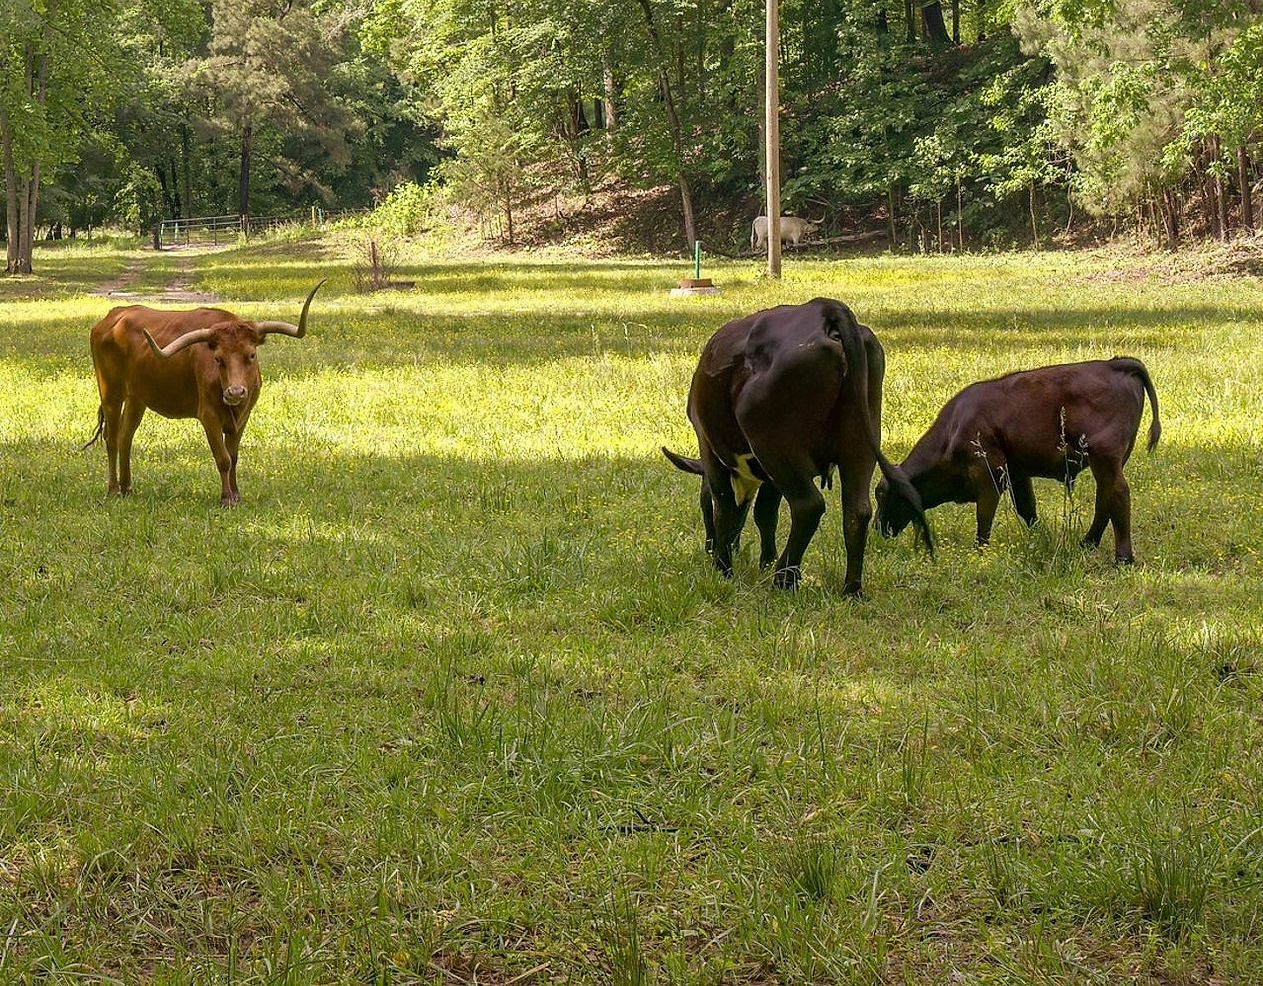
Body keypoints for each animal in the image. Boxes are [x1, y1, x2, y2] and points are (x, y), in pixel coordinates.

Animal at [83, 281, 325, 506]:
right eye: (218, 358)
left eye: (251, 355)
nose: (235, 392)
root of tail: (113, 317)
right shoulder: (208, 416)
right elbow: (223, 458)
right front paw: (227, 498)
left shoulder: (244, 416)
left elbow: (234, 455)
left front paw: (236, 495)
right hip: (110, 392)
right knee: (112, 438)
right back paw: (114, 489)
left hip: (136, 398)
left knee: (126, 436)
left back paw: (127, 488)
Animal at [662, 298, 932, 594]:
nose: (709, 548)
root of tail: (824, 309)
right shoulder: (767, 476)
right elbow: (764, 513)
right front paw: (764, 561)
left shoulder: (711, 449)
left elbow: (724, 505)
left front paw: (723, 568)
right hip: (858, 441)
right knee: (857, 511)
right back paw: (851, 590)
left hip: (775, 446)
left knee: (808, 506)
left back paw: (784, 579)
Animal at [874, 357, 1161, 564]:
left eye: (884, 495)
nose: (877, 528)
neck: (953, 429)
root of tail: (1114, 363)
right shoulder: (1017, 472)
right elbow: (1027, 508)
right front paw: (1039, 537)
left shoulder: (988, 475)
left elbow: (984, 516)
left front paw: (980, 553)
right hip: (1111, 462)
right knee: (1105, 498)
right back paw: (1087, 543)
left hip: (1105, 458)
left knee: (1118, 495)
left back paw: (1122, 558)